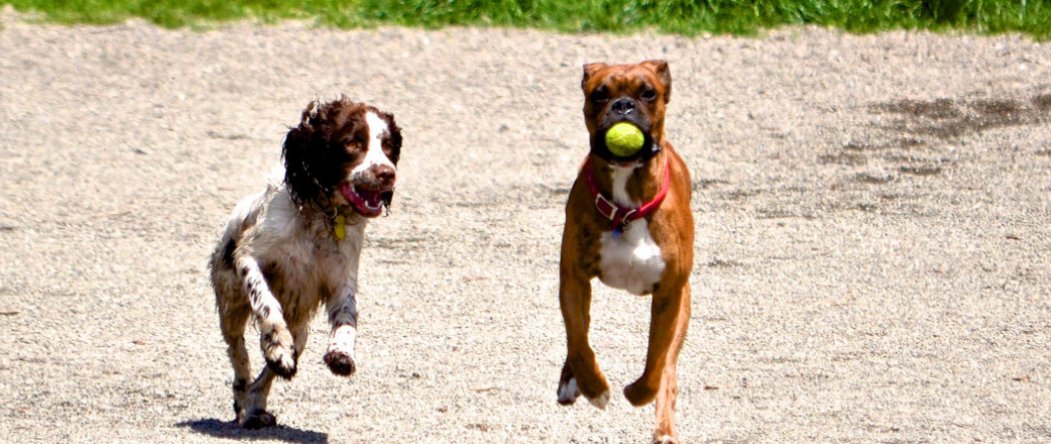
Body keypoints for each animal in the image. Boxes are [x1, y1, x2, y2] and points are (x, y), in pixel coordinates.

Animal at [208, 97, 401, 429]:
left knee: (270, 371)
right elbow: (266, 302)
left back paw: (257, 405)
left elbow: (347, 318)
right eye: (353, 143)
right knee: (238, 353)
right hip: (230, 302)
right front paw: (276, 345)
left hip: (300, 331)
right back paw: (246, 398)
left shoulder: (341, 279)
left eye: (388, 146)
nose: (387, 173)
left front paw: (341, 353)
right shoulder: (249, 256)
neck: (323, 216)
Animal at [554, 59, 693, 444]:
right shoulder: (573, 280)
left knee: (668, 368)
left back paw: (664, 427)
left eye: (648, 93)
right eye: (599, 94)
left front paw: (638, 392)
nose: (623, 105)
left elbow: (656, 360)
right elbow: (579, 341)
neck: (627, 210)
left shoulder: (669, 295)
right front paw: (594, 388)